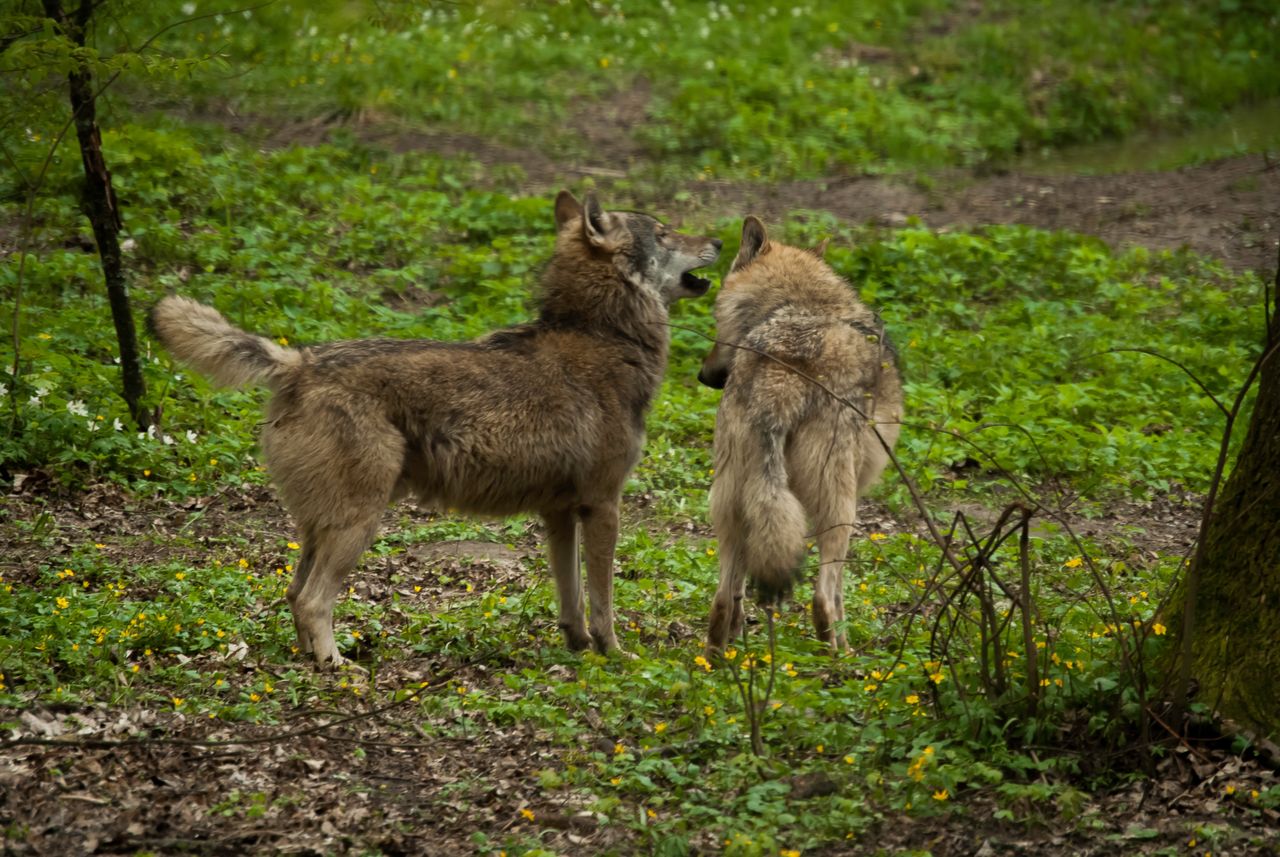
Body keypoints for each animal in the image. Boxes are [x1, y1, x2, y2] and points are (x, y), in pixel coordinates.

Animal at [149, 191, 721, 670]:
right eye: (665, 233)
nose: (718, 240)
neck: (602, 335)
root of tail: (299, 362)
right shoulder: (602, 506)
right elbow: (603, 601)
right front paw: (615, 656)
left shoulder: (558, 513)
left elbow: (572, 598)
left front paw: (578, 648)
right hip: (360, 523)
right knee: (313, 600)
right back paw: (338, 669)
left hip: (323, 525)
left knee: (293, 593)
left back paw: (309, 659)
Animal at [701, 218, 901, 654]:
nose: (704, 376)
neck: (799, 302)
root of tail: (781, 379)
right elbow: (838, 595)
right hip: (840, 510)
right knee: (824, 597)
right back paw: (842, 658)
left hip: (729, 504)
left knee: (724, 597)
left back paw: (719, 659)